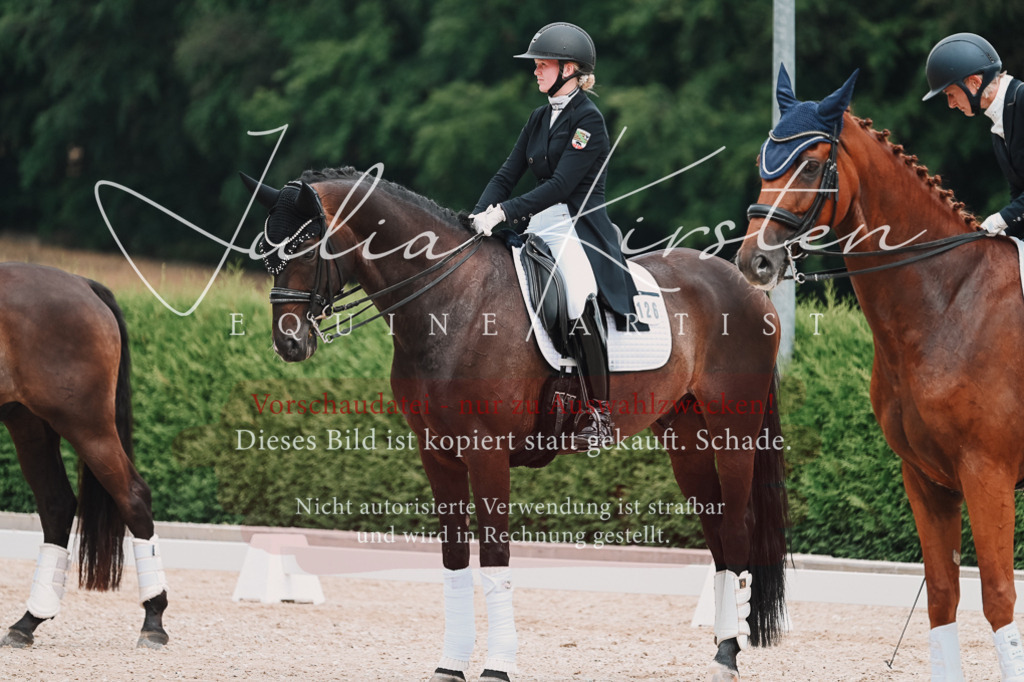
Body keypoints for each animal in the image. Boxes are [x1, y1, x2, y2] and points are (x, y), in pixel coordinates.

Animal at [0, 263, 168, 650]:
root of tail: (82, 284)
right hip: (28, 422)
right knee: (57, 505)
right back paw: (27, 622)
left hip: (86, 425)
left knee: (133, 496)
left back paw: (153, 621)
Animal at [241, 166, 788, 681]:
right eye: (268, 251)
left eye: (306, 246)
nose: (289, 342)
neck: (450, 301)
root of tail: (746, 286)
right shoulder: (436, 453)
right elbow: (454, 558)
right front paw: (450, 664)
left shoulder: (486, 452)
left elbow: (495, 559)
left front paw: (497, 666)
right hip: (684, 435)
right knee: (716, 532)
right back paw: (721, 646)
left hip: (733, 430)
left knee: (736, 528)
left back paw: (728, 655)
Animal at [737, 68, 1024, 680]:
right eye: (763, 161)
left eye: (810, 164)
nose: (756, 262)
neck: (947, 302)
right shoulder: (927, 478)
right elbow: (942, 596)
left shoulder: (986, 474)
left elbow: (997, 595)